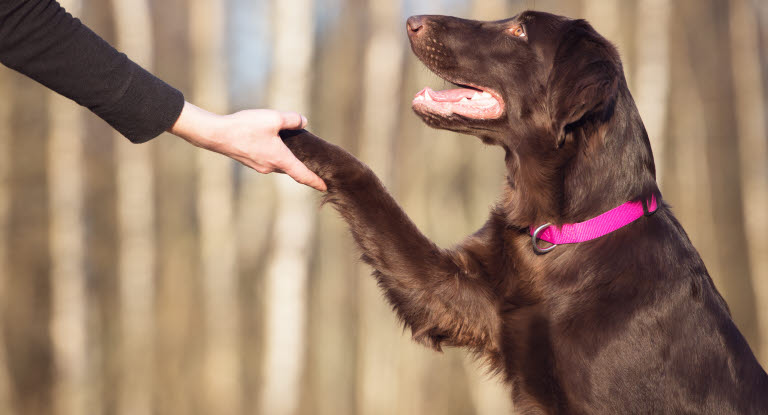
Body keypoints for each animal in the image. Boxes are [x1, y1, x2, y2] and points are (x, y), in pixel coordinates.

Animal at [280, 10, 768, 415]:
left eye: (518, 31)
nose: (412, 21)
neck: (561, 233)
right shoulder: (454, 295)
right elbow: (366, 183)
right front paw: (286, 133)